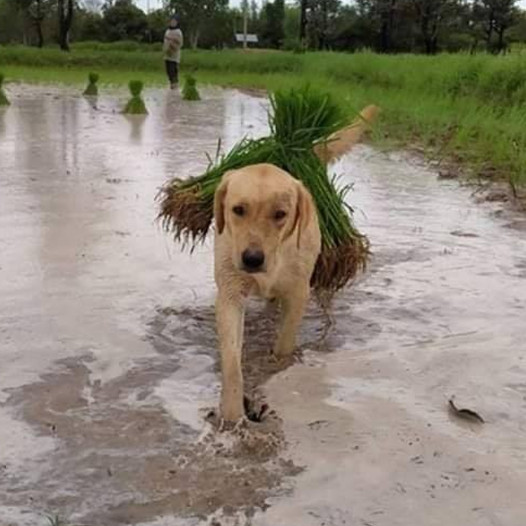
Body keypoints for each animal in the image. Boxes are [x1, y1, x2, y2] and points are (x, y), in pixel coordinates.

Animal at [214, 163, 322, 422]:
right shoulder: (230, 292)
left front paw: (278, 365)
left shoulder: (298, 292)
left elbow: (285, 342)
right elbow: (232, 362)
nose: (252, 258)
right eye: (238, 209)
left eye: (280, 214)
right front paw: (232, 415)